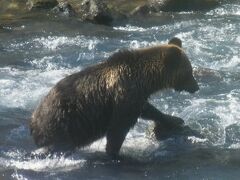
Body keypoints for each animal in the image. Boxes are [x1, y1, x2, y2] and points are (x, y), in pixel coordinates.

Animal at [30, 37, 199, 158]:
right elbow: (118, 129)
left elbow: (149, 110)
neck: (145, 79)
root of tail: (33, 119)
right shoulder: (124, 97)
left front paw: (175, 119)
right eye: (189, 72)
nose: (196, 87)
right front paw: (115, 153)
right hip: (63, 122)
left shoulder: (136, 97)